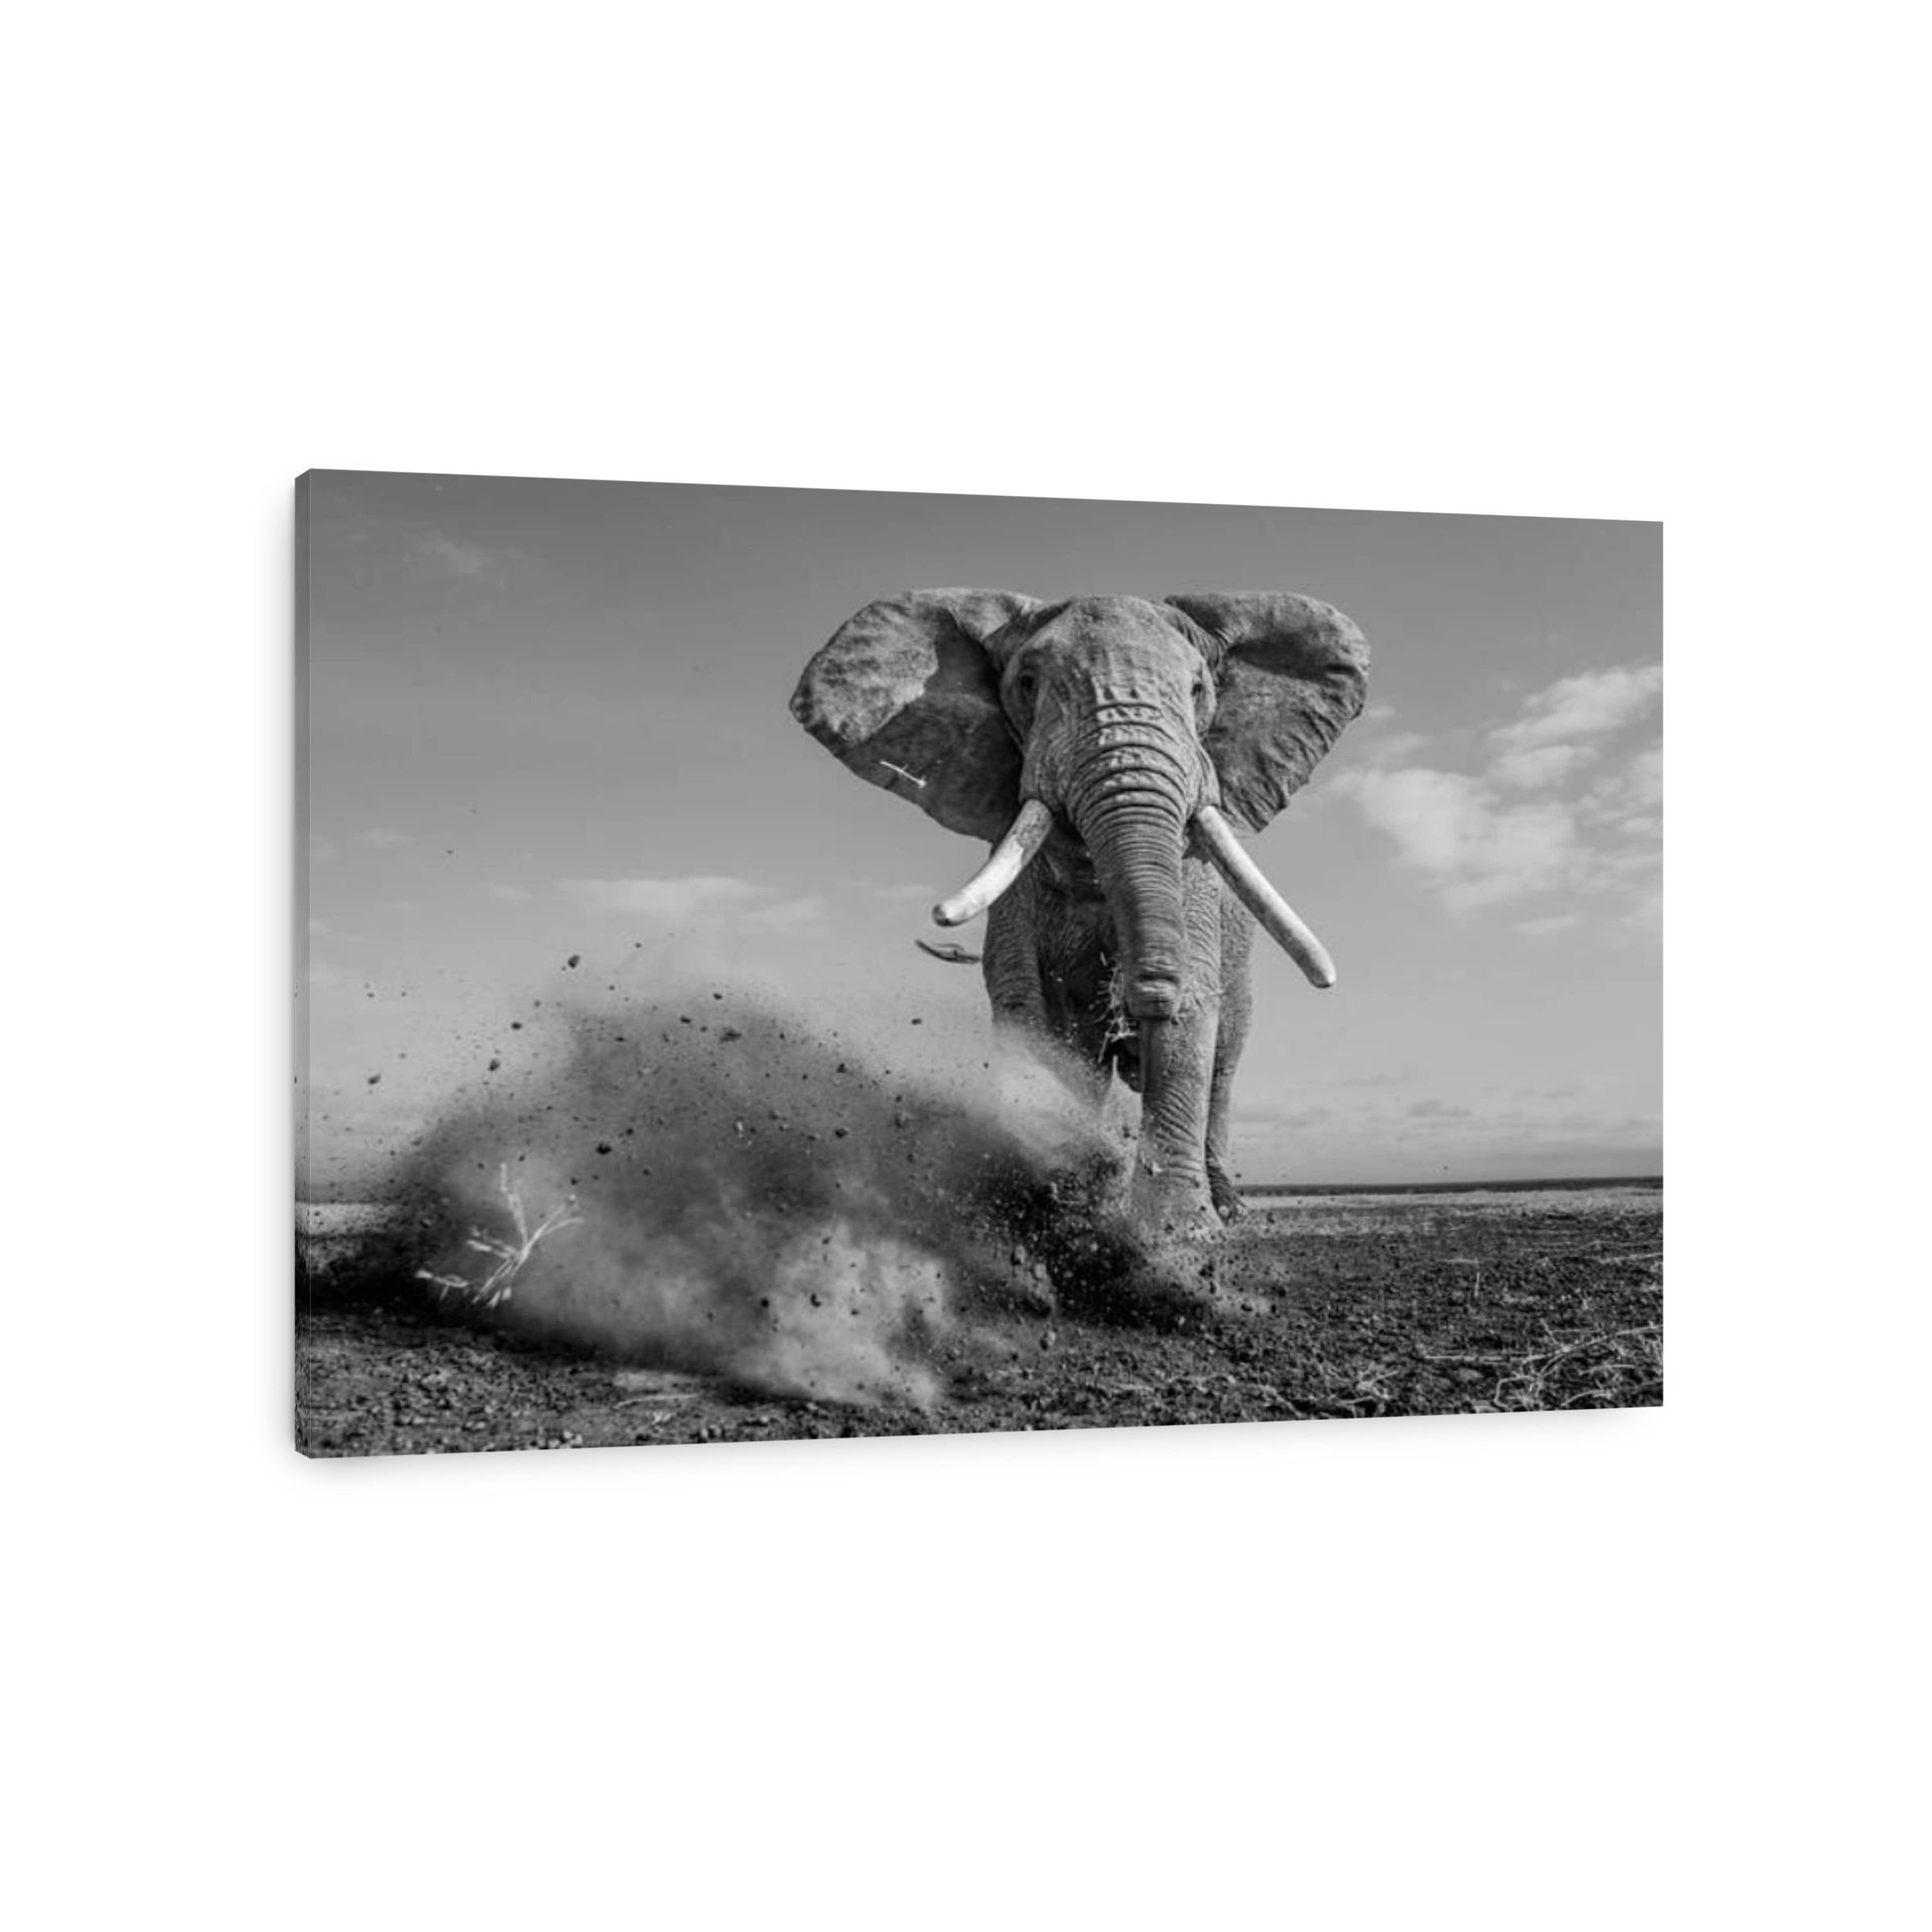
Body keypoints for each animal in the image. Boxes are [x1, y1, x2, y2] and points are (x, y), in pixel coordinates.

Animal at [790, 589, 1369, 1296]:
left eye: (1198, 690)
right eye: (1027, 685)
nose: (1139, 997)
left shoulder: (1196, 881)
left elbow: (1194, 1022)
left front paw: (1181, 1245)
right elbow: (1027, 1011)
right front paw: (1050, 1217)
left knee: (1226, 1062)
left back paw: (1229, 1210)